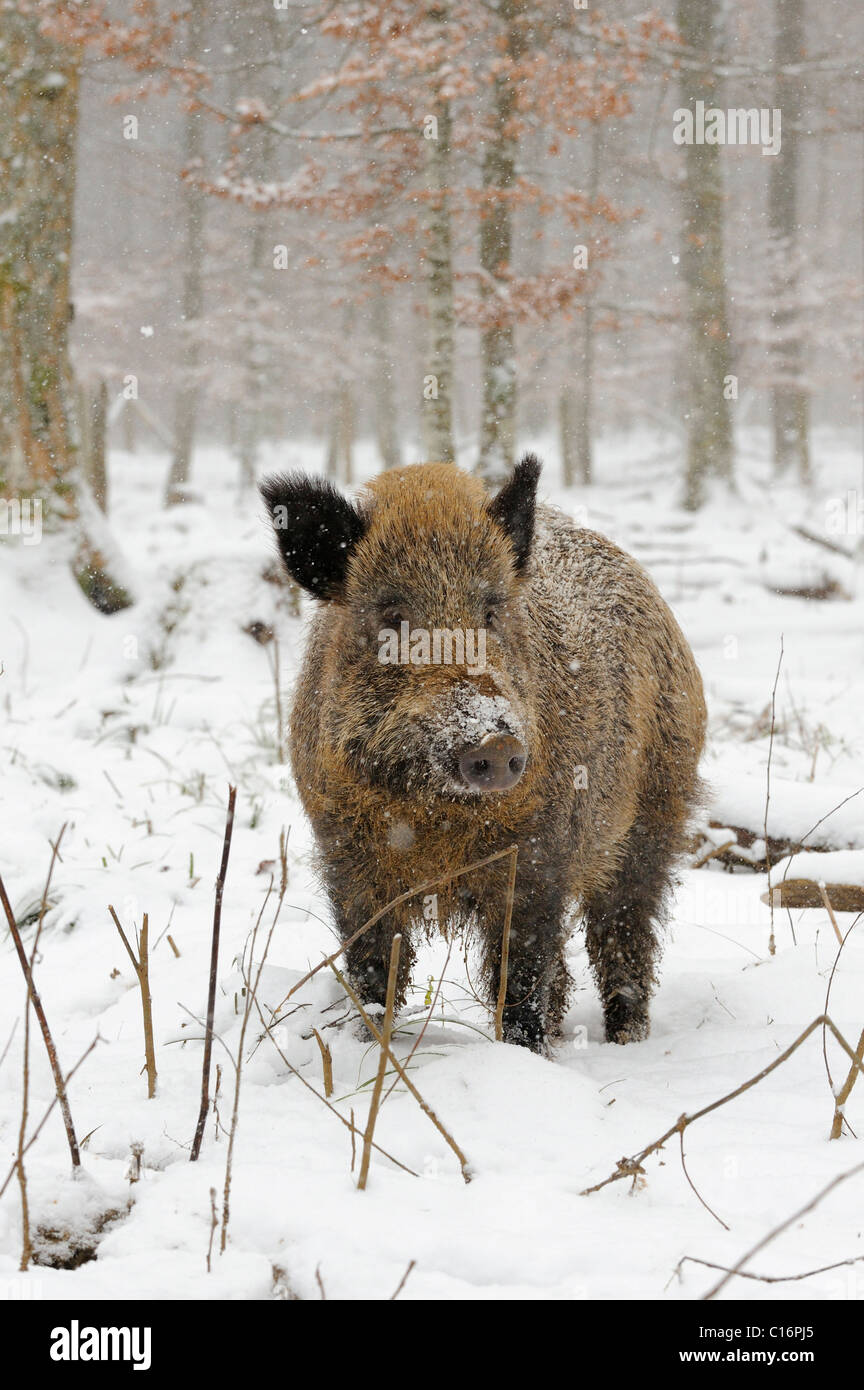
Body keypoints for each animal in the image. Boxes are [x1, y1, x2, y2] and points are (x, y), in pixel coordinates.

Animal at [261, 455, 706, 1052]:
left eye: (491, 612)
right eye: (392, 615)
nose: (497, 744)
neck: (434, 817)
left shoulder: (540, 855)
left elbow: (520, 973)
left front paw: (524, 1056)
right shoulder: (345, 853)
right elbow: (374, 966)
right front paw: (373, 1045)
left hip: (659, 809)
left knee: (624, 930)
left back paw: (627, 1041)